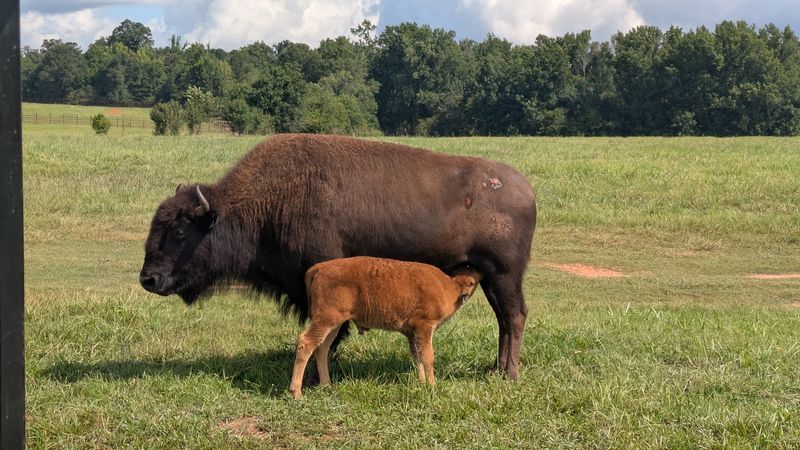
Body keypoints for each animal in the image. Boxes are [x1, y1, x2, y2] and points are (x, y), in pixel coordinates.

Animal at [139, 134, 536, 379]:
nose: (148, 279)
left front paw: (316, 378)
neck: (263, 203)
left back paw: (509, 374)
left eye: (179, 232)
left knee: (513, 316)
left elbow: (327, 335)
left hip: (505, 274)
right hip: (490, 277)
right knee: (504, 319)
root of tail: (526, 189)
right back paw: (495, 369)